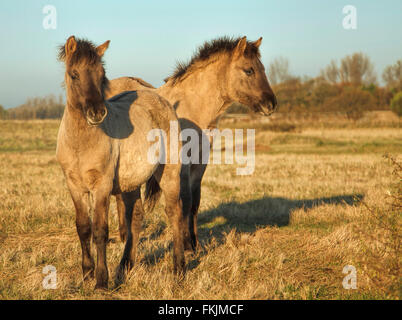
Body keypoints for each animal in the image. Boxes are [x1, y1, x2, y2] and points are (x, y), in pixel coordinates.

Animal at [55, 35, 189, 290]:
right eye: (74, 74)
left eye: (101, 75)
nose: (97, 113)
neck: (80, 143)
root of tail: (161, 99)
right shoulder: (73, 186)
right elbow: (83, 228)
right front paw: (86, 274)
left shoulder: (102, 187)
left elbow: (100, 231)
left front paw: (101, 281)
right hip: (130, 184)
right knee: (135, 218)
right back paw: (125, 267)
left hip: (169, 174)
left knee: (174, 212)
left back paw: (179, 270)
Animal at [105, 35, 278, 252]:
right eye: (249, 70)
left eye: (262, 68)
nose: (271, 104)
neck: (193, 107)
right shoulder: (183, 165)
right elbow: (185, 201)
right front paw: (186, 244)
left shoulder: (200, 163)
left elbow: (195, 202)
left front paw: (195, 243)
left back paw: (123, 235)